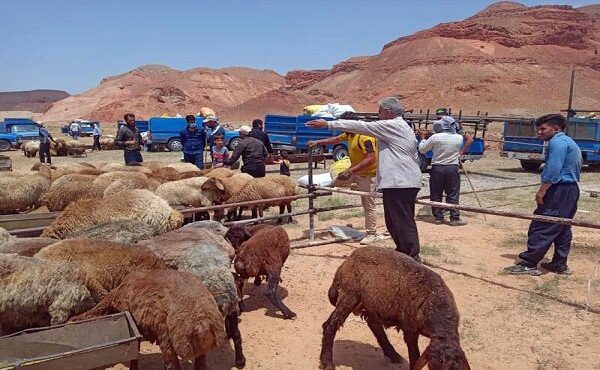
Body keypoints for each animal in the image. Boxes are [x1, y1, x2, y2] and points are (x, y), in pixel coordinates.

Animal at [71, 268, 226, 370]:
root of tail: (203, 323)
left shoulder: (134, 324)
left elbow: (135, 353)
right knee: (200, 363)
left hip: (166, 337)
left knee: (172, 364)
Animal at [318, 246, 468, 370]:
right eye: (432, 366)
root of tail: (348, 260)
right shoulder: (410, 328)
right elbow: (415, 356)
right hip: (350, 294)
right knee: (330, 325)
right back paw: (327, 363)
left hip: (372, 303)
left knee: (374, 324)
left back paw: (393, 355)